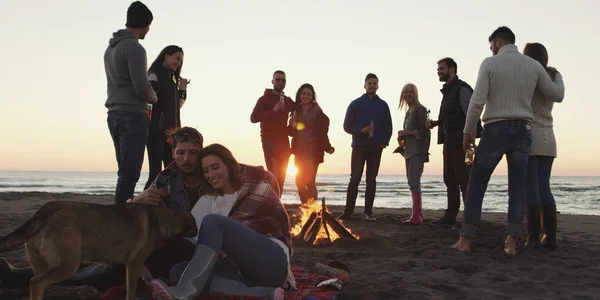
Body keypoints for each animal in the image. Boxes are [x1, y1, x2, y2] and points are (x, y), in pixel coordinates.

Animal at [0, 200, 198, 300]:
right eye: (194, 224)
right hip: (68, 265)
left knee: (34, 282)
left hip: (41, 263)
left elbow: (147, 276)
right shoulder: (133, 263)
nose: (198, 231)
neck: (163, 218)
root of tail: (45, 211)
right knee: (36, 283)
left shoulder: (136, 263)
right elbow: (131, 288)